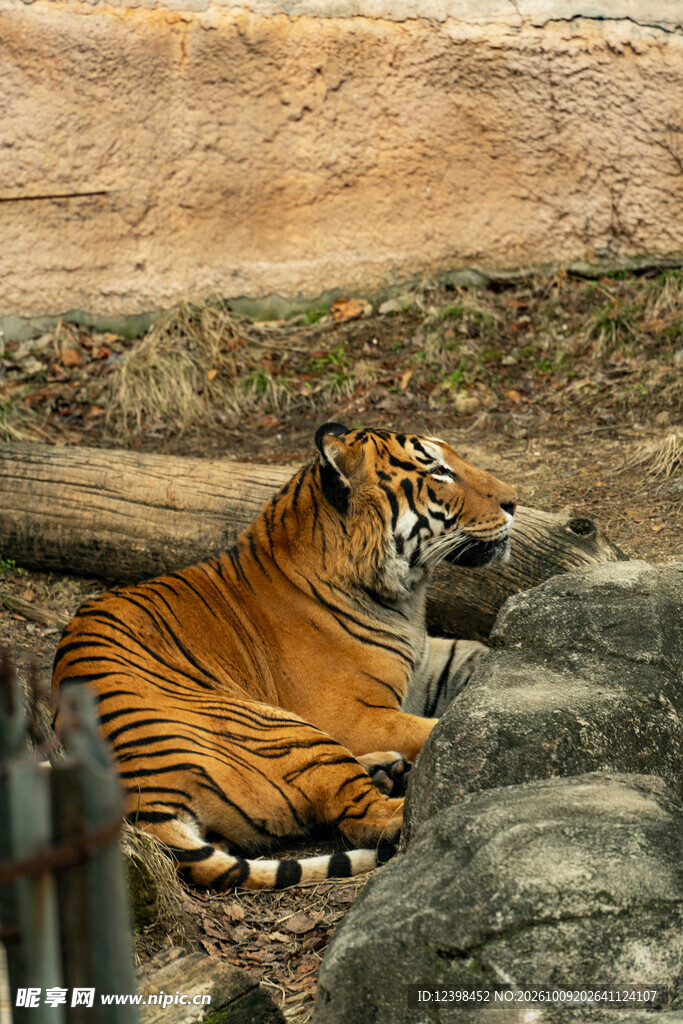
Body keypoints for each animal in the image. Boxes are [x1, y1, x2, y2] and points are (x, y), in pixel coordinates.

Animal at [52, 423, 517, 890]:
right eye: (438, 471)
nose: (514, 500)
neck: (401, 597)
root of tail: (139, 798)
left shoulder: (425, 665)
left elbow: (474, 659)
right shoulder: (354, 716)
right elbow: (435, 730)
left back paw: (386, 770)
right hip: (285, 730)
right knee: (371, 820)